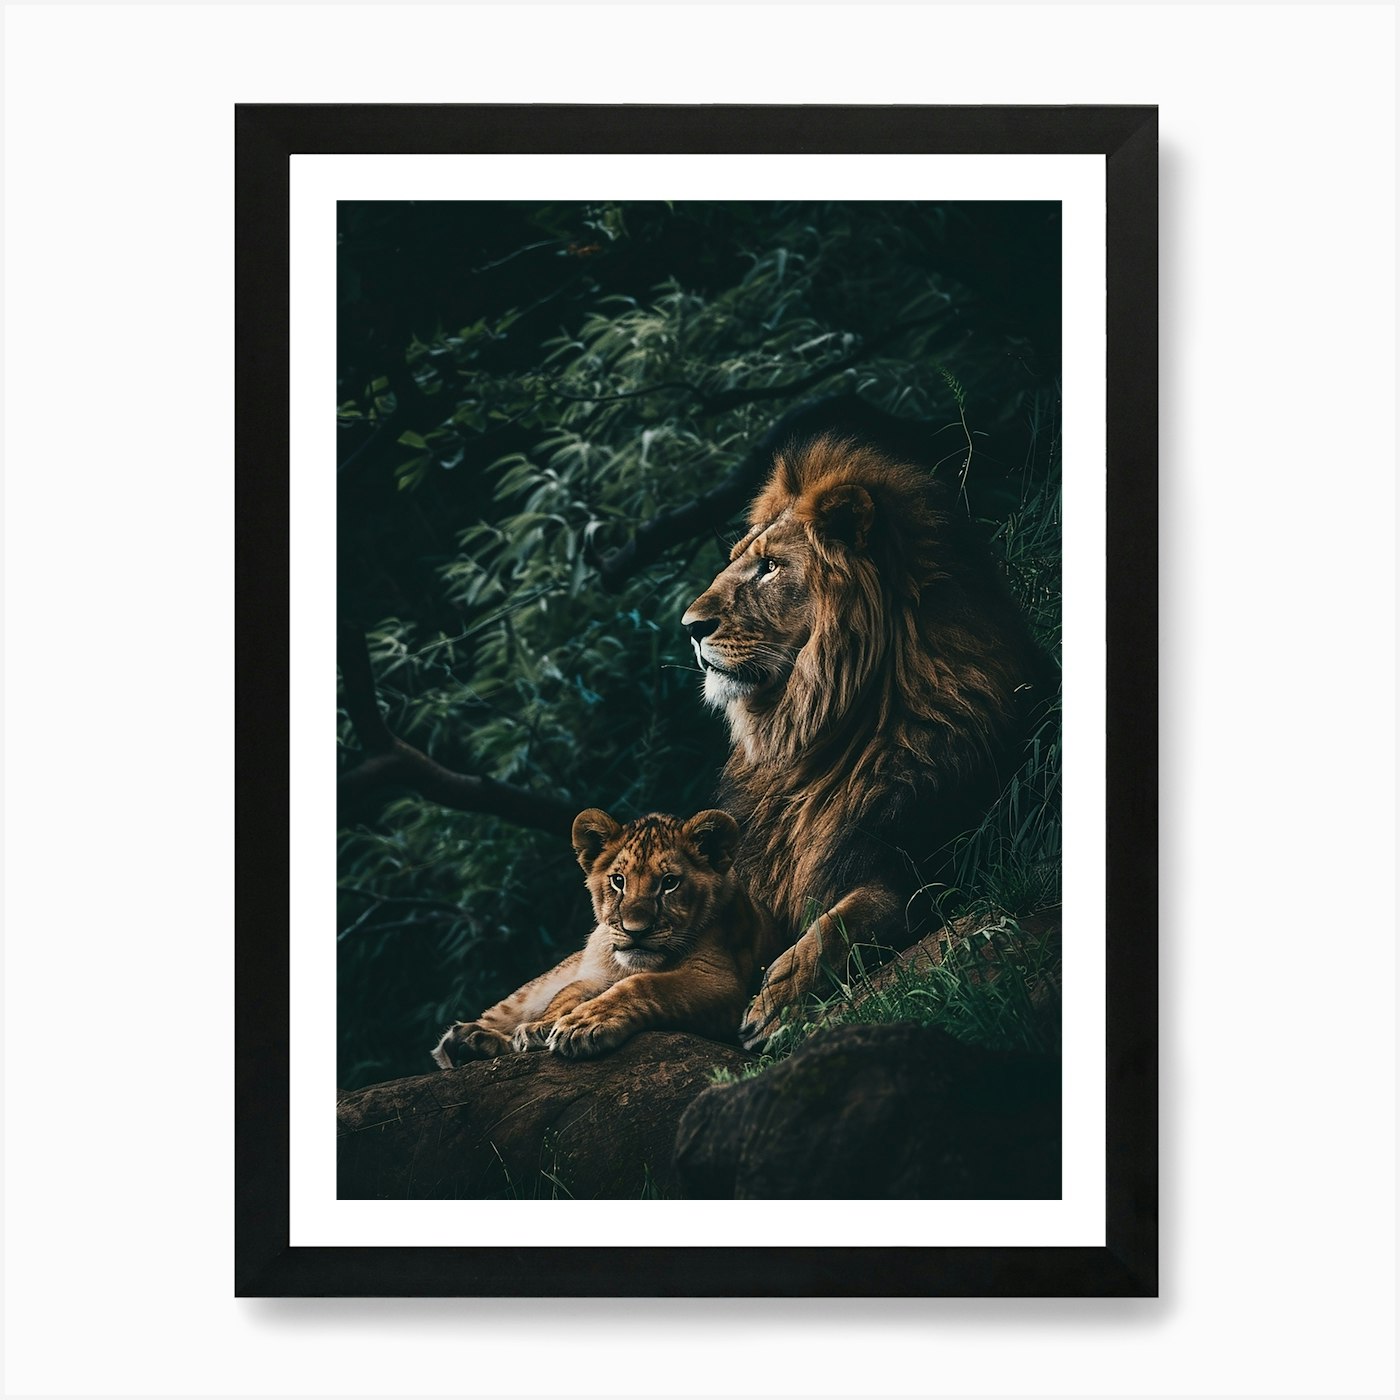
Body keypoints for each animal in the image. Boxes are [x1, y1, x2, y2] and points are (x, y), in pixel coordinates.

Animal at [431, 806, 781, 1065]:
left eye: (669, 882)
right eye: (618, 880)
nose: (634, 931)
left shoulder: (724, 984)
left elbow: (643, 984)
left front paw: (583, 1025)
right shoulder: (594, 975)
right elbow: (567, 996)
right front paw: (543, 1026)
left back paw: (476, 1044)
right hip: (535, 988)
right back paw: (464, 1041)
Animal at [682, 415, 1048, 1048]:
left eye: (770, 566)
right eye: (737, 560)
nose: (690, 627)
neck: (807, 740)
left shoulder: (935, 863)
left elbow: (846, 920)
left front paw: (774, 1002)